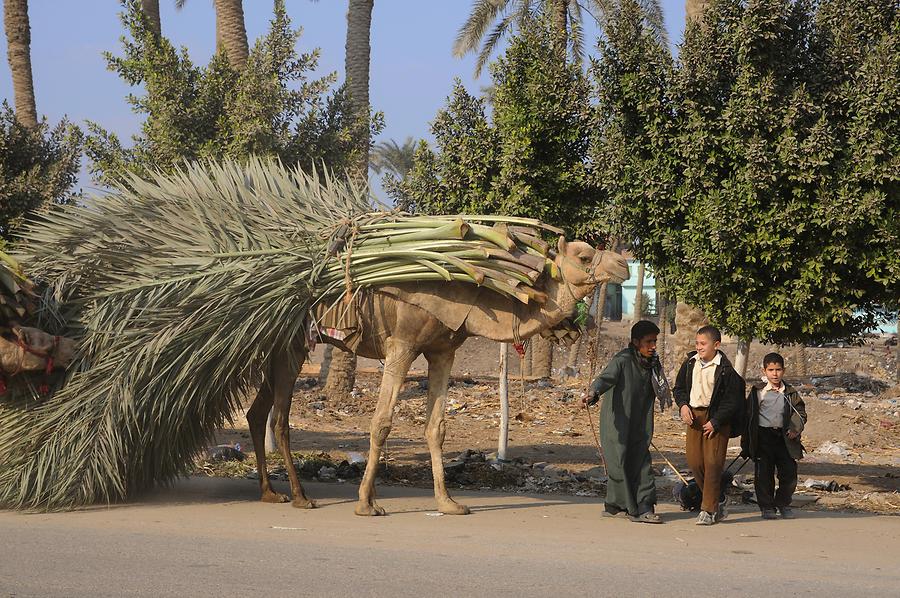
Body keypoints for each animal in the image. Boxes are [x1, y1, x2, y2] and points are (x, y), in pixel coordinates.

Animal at [243, 238, 628, 516]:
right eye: (584, 255)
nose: (623, 263)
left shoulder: (443, 351)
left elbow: (436, 427)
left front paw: (449, 503)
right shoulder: (402, 344)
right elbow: (382, 421)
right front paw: (366, 504)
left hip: (276, 344)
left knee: (257, 412)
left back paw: (270, 493)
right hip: (291, 344)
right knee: (279, 419)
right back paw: (300, 496)